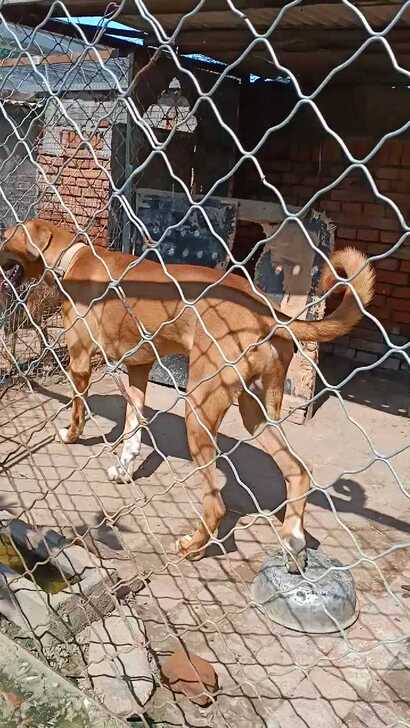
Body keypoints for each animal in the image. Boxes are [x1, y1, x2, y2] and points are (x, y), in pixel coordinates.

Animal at [0, 219, 374, 572]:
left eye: (4, 238)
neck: (72, 258)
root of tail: (269, 313)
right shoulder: (139, 368)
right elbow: (133, 425)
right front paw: (123, 466)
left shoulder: (79, 363)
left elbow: (79, 409)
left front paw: (71, 434)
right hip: (257, 412)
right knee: (297, 472)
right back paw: (293, 540)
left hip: (199, 411)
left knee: (216, 504)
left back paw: (193, 546)